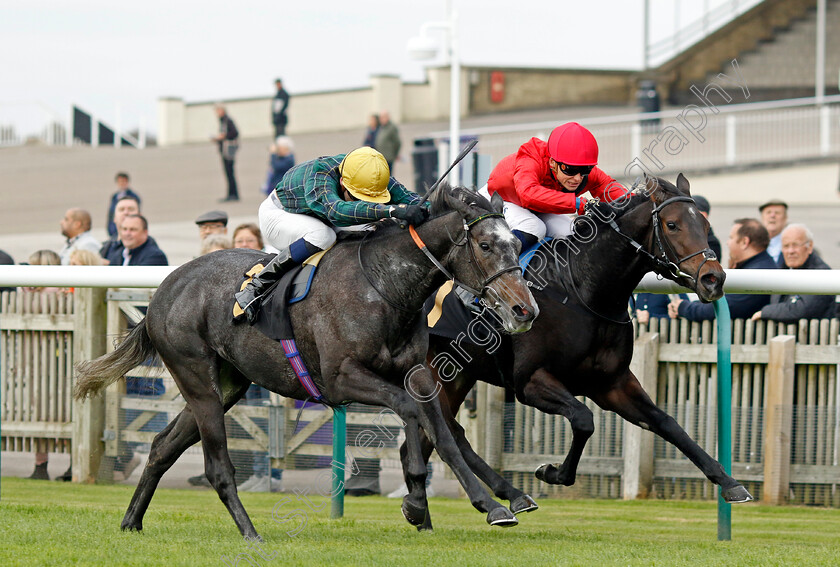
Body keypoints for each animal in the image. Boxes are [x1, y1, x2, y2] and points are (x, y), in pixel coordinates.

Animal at [74, 184, 540, 540]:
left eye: (518, 243)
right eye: (485, 245)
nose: (525, 309)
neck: (384, 285)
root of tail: (163, 291)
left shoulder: (417, 371)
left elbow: (441, 433)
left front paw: (484, 505)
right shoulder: (340, 378)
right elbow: (409, 410)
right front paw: (415, 497)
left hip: (226, 385)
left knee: (161, 446)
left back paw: (131, 522)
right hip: (197, 378)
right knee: (216, 466)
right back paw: (250, 533)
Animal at [416, 175, 756, 532]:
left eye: (705, 225)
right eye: (672, 224)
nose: (713, 278)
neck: (583, 289)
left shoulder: (612, 384)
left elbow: (667, 423)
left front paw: (730, 483)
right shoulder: (529, 382)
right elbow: (583, 420)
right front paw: (551, 472)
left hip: (455, 377)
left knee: (433, 434)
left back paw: (421, 513)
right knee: (449, 433)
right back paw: (505, 498)